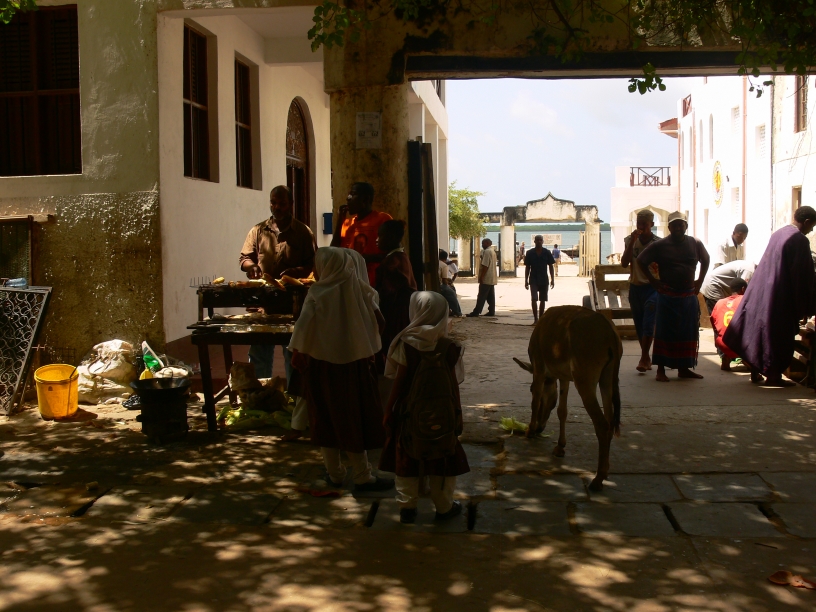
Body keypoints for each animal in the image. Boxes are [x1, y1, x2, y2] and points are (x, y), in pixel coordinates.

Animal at [514, 305, 622, 490]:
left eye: (529, 388)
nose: (540, 428)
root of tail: (610, 334)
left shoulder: (539, 364)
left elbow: (535, 400)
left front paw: (530, 430)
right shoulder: (564, 376)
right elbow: (562, 410)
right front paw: (560, 447)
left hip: (584, 374)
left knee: (601, 424)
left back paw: (597, 479)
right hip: (607, 377)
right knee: (609, 419)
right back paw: (605, 471)